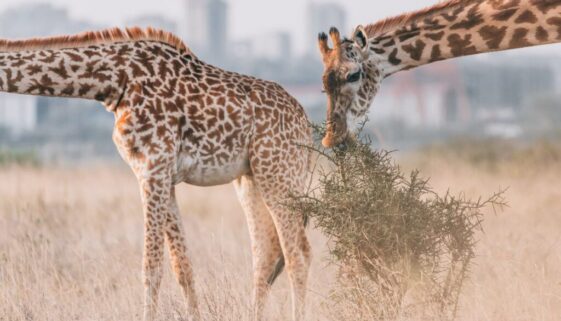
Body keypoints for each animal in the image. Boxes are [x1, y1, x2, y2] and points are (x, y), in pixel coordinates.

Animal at [0, 28, 310, 320]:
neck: (114, 81)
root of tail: (305, 124)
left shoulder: (153, 167)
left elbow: (151, 266)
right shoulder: (162, 175)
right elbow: (182, 267)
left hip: (279, 173)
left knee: (297, 255)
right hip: (252, 178)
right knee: (268, 255)